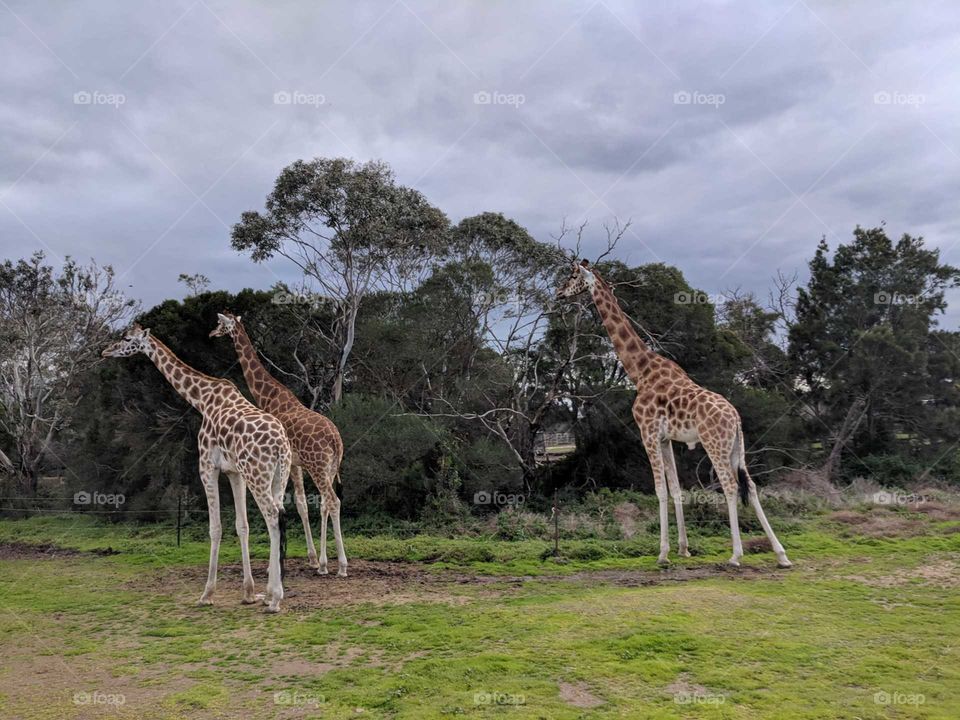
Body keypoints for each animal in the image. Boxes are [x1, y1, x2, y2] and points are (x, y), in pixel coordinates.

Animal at [101, 324, 294, 612]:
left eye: (126, 339)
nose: (105, 351)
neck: (202, 399)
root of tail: (281, 444)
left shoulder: (206, 466)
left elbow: (215, 528)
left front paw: (206, 594)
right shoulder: (234, 472)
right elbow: (242, 525)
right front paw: (248, 593)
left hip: (257, 475)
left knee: (272, 516)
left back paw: (275, 599)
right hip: (278, 475)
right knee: (280, 515)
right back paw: (271, 594)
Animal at [211, 312, 348, 576]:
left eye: (220, 323)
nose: (211, 333)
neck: (269, 396)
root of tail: (336, 440)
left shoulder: (289, 463)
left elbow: (289, 505)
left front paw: (279, 565)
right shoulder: (295, 463)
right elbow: (303, 505)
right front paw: (313, 559)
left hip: (317, 466)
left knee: (333, 501)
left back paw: (340, 566)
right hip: (329, 467)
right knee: (326, 503)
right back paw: (327, 564)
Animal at [560, 258, 792, 568]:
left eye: (573, 275)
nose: (559, 292)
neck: (640, 372)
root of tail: (735, 419)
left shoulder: (647, 432)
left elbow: (659, 490)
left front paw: (662, 554)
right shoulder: (665, 438)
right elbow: (676, 488)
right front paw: (683, 548)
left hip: (714, 444)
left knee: (730, 486)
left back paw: (735, 555)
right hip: (736, 448)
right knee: (752, 486)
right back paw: (781, 555)